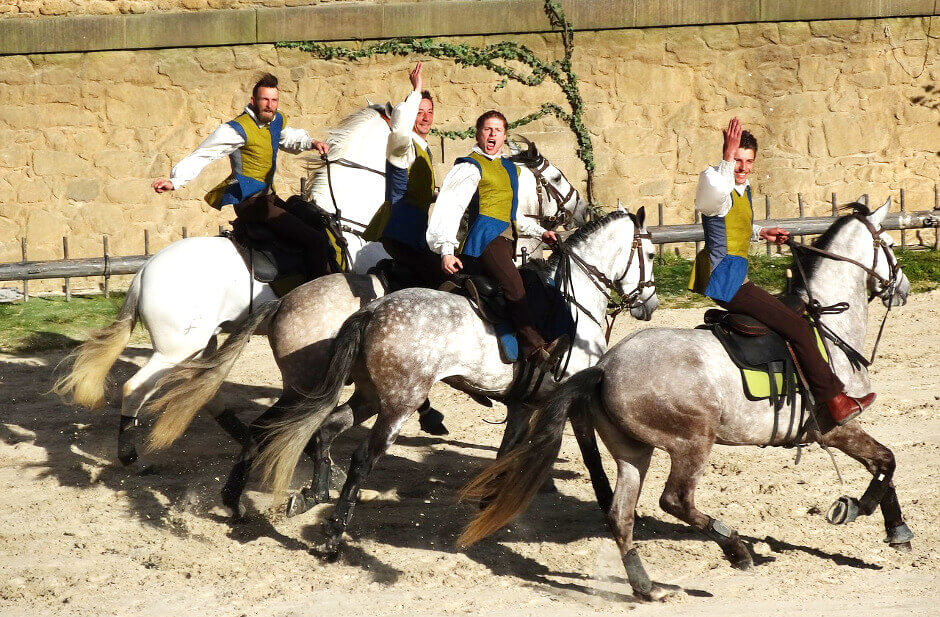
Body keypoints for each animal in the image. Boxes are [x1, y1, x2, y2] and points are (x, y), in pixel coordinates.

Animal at [458, 200, 916, 600]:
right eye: (890, 246)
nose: (903, 288)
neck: (828, 324)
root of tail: (605, 368)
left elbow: (884, 467)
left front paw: (897, 530)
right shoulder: (837, 427)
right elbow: (888, 462)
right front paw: (857, 508)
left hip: (633, 452)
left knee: (621, 514)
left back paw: (647, 586)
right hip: (692, 441)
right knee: (675, 499)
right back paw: (735, 548)